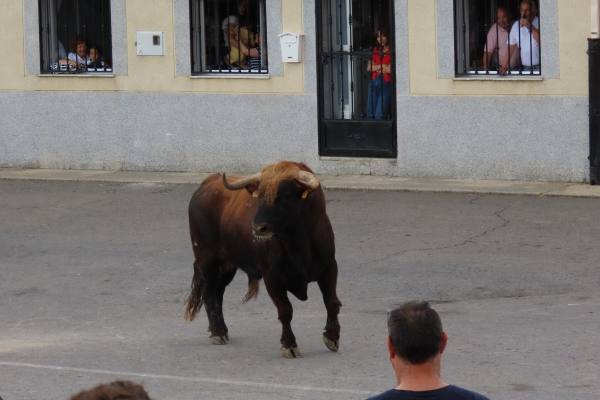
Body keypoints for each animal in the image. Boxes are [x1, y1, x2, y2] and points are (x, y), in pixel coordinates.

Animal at [183, 161, 342, 358]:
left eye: (286, 195)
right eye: (260, 196)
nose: (258, 228)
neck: (299, 241)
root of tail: (207, 184)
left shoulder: (329, 268)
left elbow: (331, 302)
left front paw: (332, 337)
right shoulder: (272, 277)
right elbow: (285, 310)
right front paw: (289, 344)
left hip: (227, 266)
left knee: (218, 293)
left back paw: (222, 330)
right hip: (207, 261)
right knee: (209, 293)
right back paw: (217, 333)